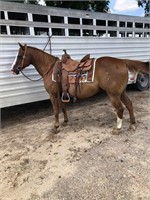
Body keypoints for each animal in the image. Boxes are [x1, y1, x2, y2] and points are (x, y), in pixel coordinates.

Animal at [10, 43, 149, 134]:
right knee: (129, 105)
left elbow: (55, 111)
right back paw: (132, 125)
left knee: (120, 109)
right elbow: (63, 107)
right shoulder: (61, 93)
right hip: (121, 92)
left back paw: (118, 129)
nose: (13, 69)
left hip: (113, 94)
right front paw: (65, 121)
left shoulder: (53, 94)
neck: (50, 69)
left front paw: (56, 127)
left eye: (19, 55)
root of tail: (121, 61)